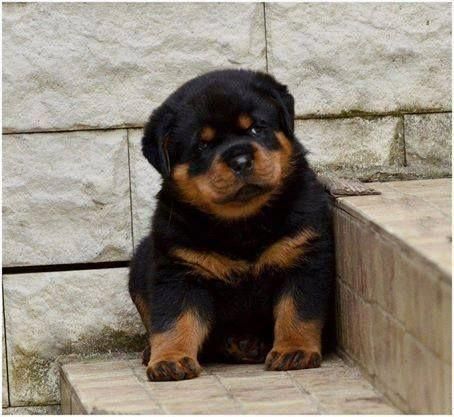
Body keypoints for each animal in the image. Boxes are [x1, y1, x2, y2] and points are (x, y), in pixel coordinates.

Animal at [127, 68, 334, 380]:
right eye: (202, 145)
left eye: (256, 129)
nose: (240, 159)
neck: (242, 224)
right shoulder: (179, 271)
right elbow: (174, 320)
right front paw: (170, 359)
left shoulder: (303, 257)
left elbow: (298, 311)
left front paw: (294, 350)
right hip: (140, 263)